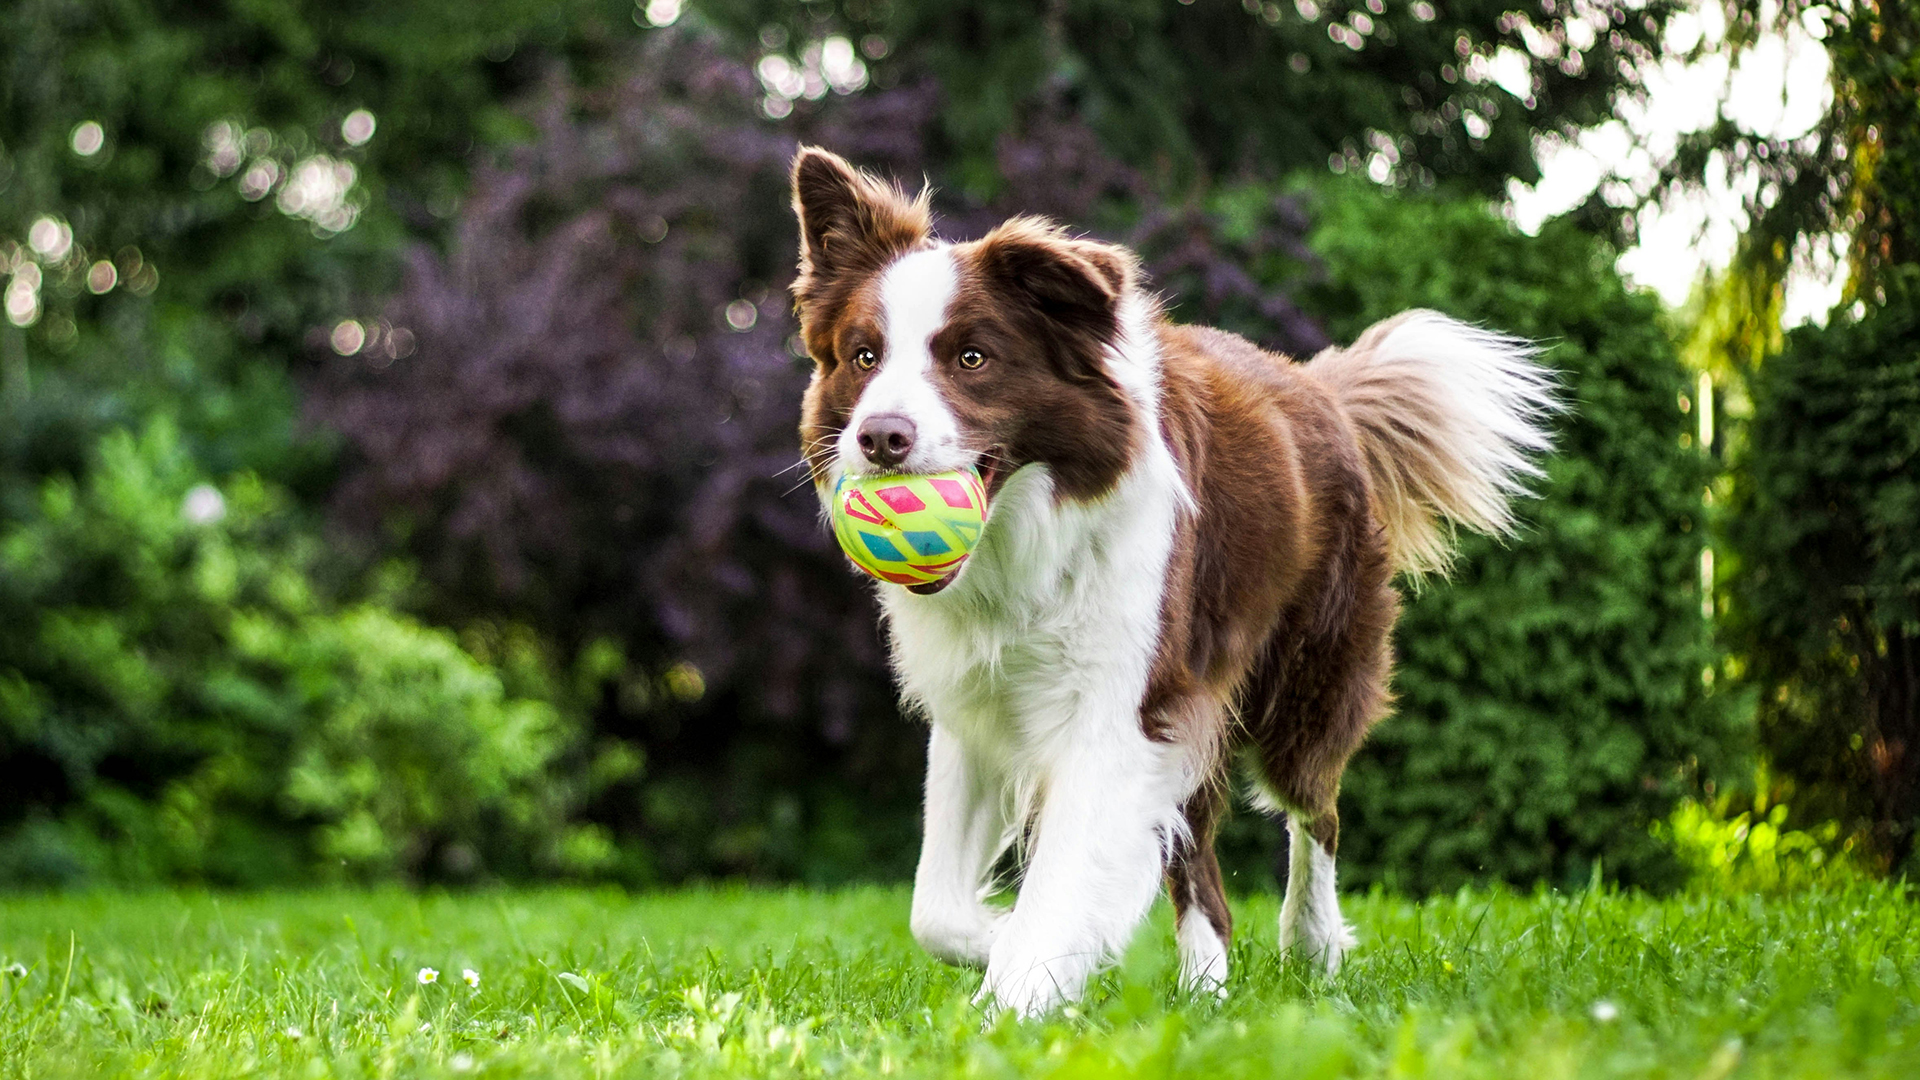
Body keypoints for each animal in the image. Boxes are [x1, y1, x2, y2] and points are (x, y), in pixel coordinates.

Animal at [787, 147, 1551, 1014]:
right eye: (863, 357)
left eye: (972, 359)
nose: (880, 437)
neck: (1025, 537)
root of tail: (1318, 387)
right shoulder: (979, 705)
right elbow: (935, 910)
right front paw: (1011, 944)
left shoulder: (1122, 706)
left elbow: (1061, 880)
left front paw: (1019, 992)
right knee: (1202, 866)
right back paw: (1206, 989)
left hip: (1304, 678)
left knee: (1315, 810)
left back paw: (1311, 944)